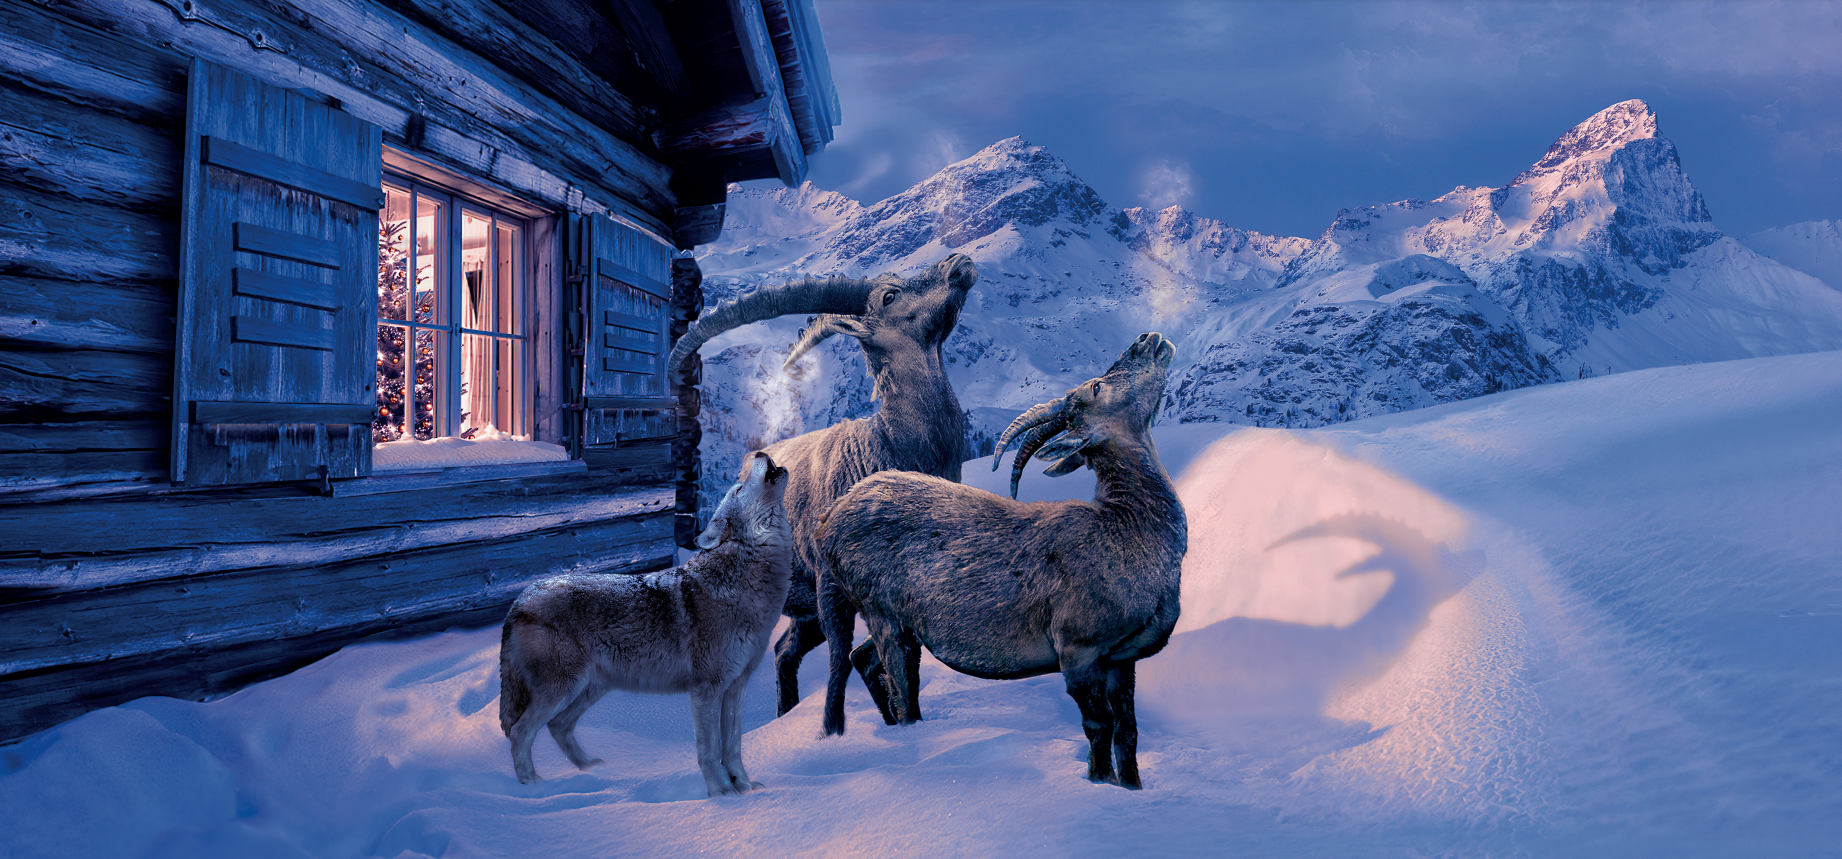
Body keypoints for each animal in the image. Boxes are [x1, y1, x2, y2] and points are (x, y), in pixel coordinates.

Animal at [498, 451, 792, 796]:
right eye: (738, 488)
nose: (760, 453)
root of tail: (519, 599)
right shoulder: (706, 689)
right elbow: (709, 750)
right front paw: (720, 795)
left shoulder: (736, 686)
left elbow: (732, 747)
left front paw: (745, 790)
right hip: (564, 689)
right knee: (520, 731)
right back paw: (532, 786)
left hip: (590, 688)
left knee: (558, 726)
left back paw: (593, 770)